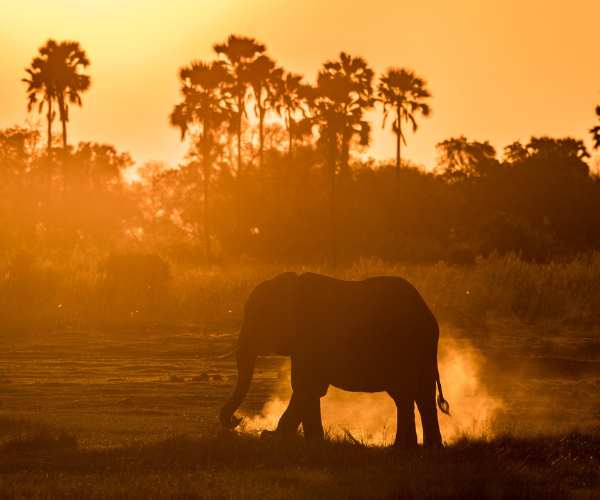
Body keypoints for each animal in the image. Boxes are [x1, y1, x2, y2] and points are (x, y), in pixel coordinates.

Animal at [218, 272, 448, 448]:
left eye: (256, 321)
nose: (237, 420)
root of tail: (428, 313)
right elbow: (309, 389)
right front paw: (313, 442)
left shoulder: (311, 339)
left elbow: (305, 387)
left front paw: (271, 437)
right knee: (414, 395)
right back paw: (417, 448)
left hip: (408, 346)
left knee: (410, 393)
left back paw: (410, 447)